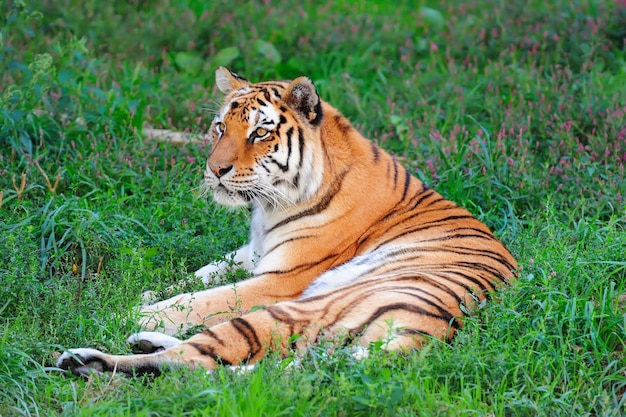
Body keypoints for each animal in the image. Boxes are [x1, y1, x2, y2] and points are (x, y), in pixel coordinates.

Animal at [56, 66, 516, 376]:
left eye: (260, 133)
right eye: (220, 127)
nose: (215, 170)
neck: (269, 206)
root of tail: (420, 337)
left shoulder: (279, 278)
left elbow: (197, 301)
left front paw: (127, 310)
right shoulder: (252, 251)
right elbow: (198, 276)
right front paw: (148, 293)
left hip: (297, 309)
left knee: (197, 360)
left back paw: (87, 359)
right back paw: (137, 344)